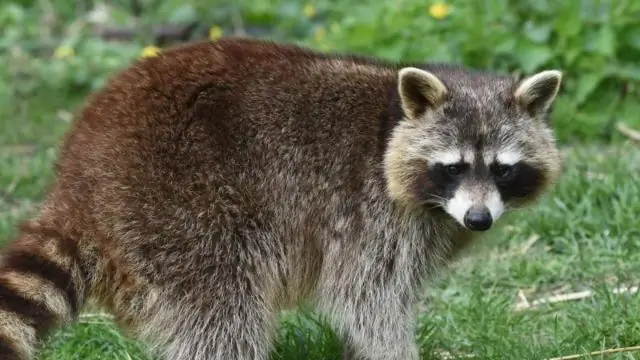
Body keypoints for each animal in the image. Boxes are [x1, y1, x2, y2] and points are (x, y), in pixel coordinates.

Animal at [0, 37, 560, 360]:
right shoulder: (369, 214)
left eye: (503, 169)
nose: (479, 219)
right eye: (454, 167)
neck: (391, 123)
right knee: (222, 311)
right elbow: (369, 302)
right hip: (176, 206)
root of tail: (79, 177)